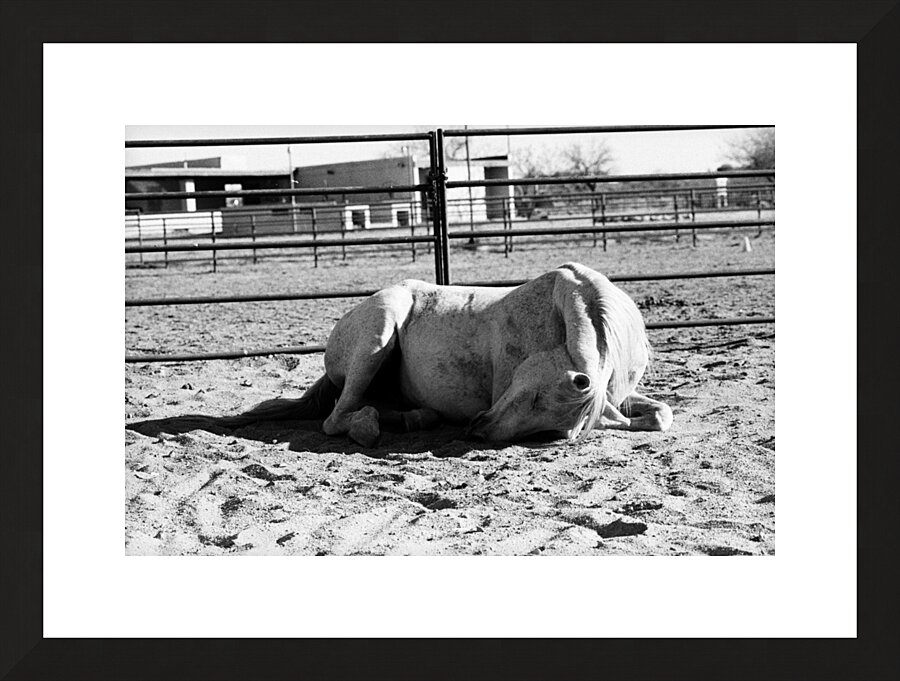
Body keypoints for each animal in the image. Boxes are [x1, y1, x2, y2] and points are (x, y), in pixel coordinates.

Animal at [223, 262, 673, 447]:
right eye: (528, 394)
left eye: (549, 430)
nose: (477, 428)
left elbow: (660, 415)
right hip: (376, 336)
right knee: (337, 418)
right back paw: (370, 426)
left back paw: (414, 418)